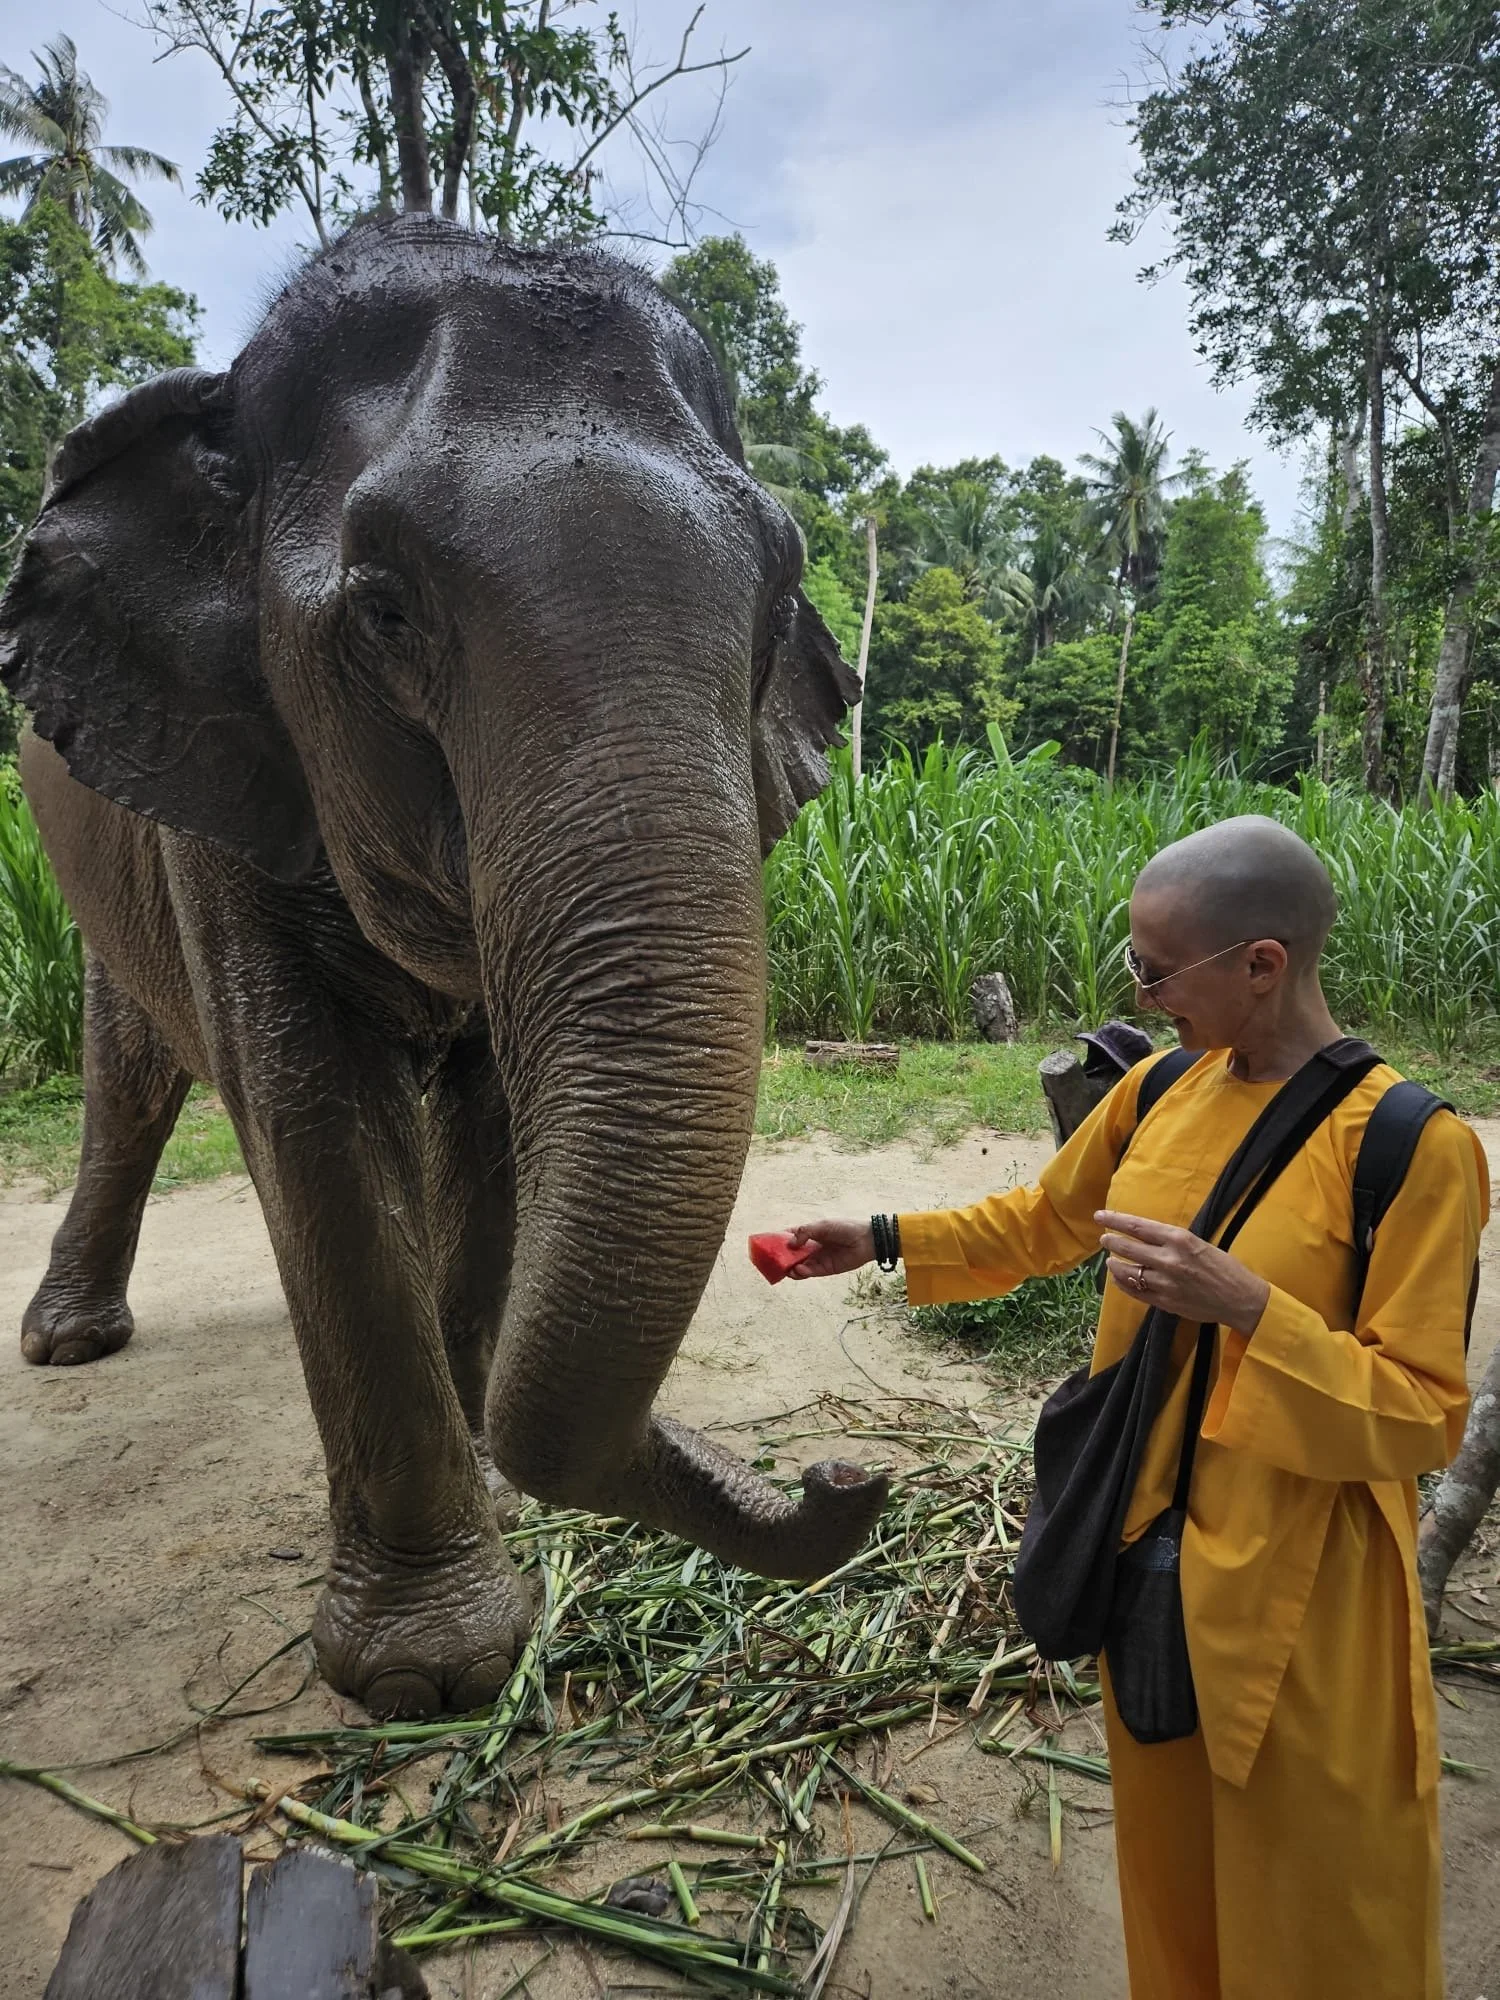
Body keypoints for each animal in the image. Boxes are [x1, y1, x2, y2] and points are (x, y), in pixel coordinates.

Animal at [0, 214, 889, 1719]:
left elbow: (493, 1119)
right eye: (386, 611)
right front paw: (432, 1672)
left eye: (781, 602)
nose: (847, 1473)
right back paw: (68, 1343)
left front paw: (491, 1478)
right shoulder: (227, 785)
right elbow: (308, 1115)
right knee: (132, 1076)